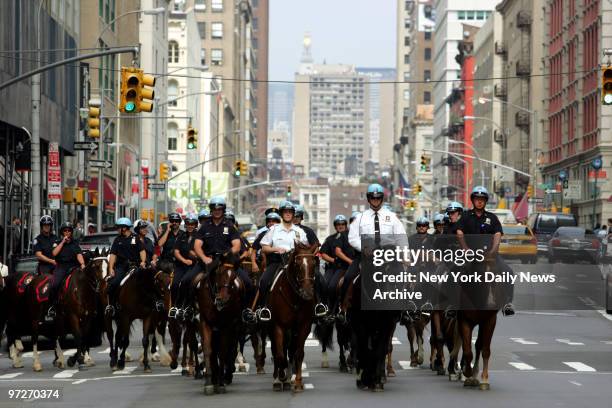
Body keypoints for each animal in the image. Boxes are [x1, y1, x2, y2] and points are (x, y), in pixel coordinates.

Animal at [196, 253, 244, 394]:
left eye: (233, 276)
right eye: (219, 273)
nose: (223, 299)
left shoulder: (225, 325)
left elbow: (223, 351)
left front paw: (221, 383)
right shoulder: (204, 322)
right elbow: (208, 350)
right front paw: (209, 382)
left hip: (235, 327)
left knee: (231, 348)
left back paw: (225, 375)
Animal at [268, 242, 318, 392]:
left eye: (314, 264)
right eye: (298, 264)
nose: (307, 293)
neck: (294, 297)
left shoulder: (304, 326)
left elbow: (298, 353)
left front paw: (297, 382)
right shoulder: (278, 326)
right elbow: (279, 354)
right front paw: (281, 377)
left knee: (290, 350)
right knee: (276, 350)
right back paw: (278, 378)